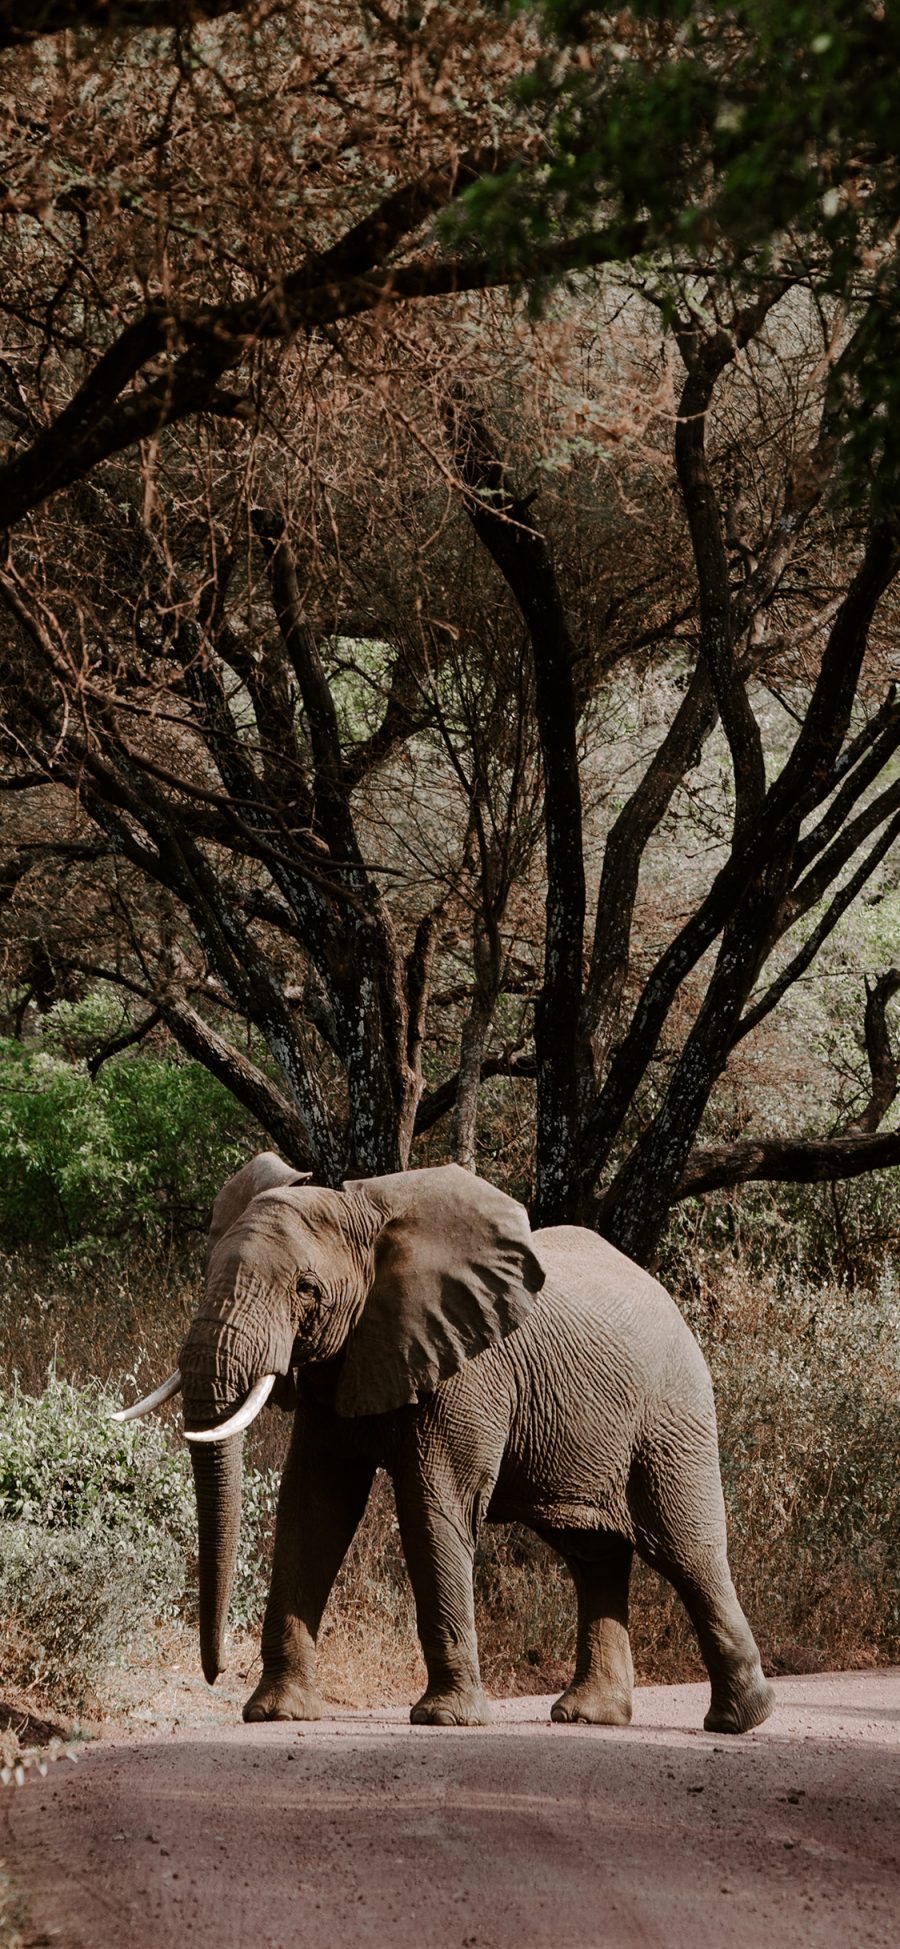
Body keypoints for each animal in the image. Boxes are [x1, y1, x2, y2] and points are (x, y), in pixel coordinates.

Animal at [115, 1146, 775, 1730]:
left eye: (306, 1288)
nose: (213, 1673)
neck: (365, 1217)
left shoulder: (466, 1369)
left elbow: (433, 1505)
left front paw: (444, 1720)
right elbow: (313, 1507)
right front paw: (274, 1714)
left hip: (672, 1415)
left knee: (687, 1549)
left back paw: (740, 1719)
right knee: (593, 1552)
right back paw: (591, 1716)